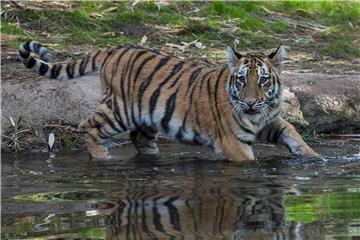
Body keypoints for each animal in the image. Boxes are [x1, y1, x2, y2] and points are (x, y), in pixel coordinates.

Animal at [19, 40, 318, 161]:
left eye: (263, 80)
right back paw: (102, 158)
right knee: (88, 126)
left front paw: (314, 157)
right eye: (242, 80)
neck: (257, 115)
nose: (251, 103)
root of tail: (114, 49)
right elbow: (249, 161)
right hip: (119, 110)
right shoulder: (233, 142)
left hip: (147, 116)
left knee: (139, 138)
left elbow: (293, 133)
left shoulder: (269, 121)